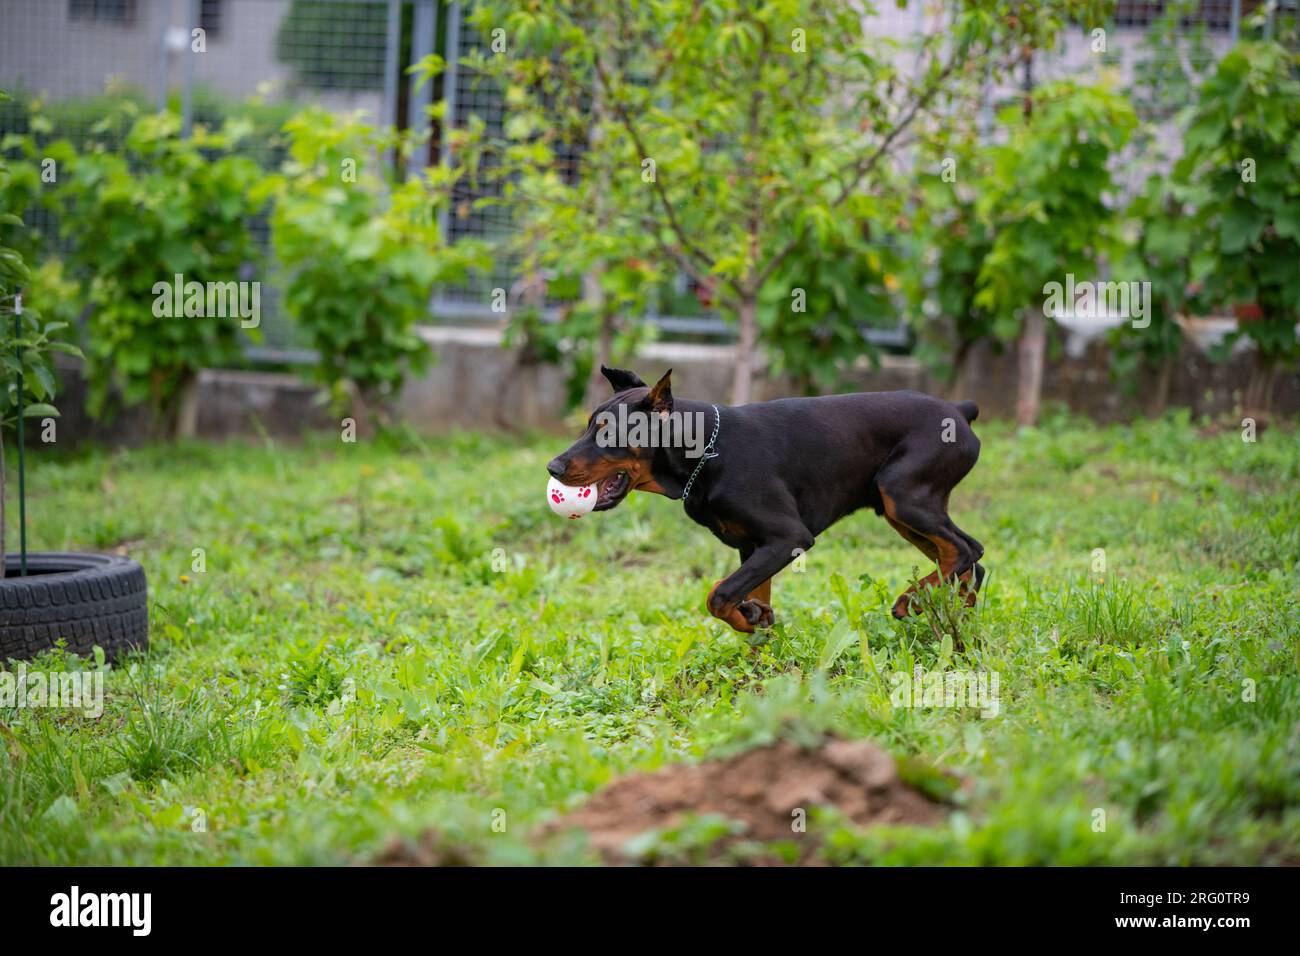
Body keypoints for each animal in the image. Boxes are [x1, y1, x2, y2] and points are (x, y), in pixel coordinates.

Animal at [548, 366, 982, 634]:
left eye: (608, 432)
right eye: (589, 425)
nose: (553, 466)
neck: (706, 449)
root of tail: (959, 410)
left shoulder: (788, 538)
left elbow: (718, 595)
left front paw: (748, 617)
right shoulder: (753, 546)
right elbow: (749, 600)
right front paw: (758, 625)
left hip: (902, 493)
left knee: (962, 551)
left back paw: (915, 600)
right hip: (900, 507)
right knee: (971, 558)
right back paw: (956, 621)